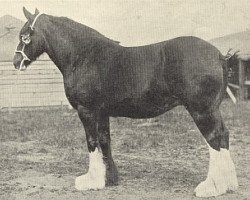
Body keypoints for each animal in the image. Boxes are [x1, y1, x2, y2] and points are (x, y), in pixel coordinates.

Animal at [13, 7, 238, 197]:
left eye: (25, 35)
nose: (16, 62)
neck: (84, 56)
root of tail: (218, 56)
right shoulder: (102, 112)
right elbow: (105, 141)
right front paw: (109, 179)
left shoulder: (86, 111)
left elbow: (92, 142)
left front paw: (91, 181)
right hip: (212, 110)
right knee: (223, 135)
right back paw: (229, 184)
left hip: (202, 111)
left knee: (214, 139)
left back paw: (212, 187)